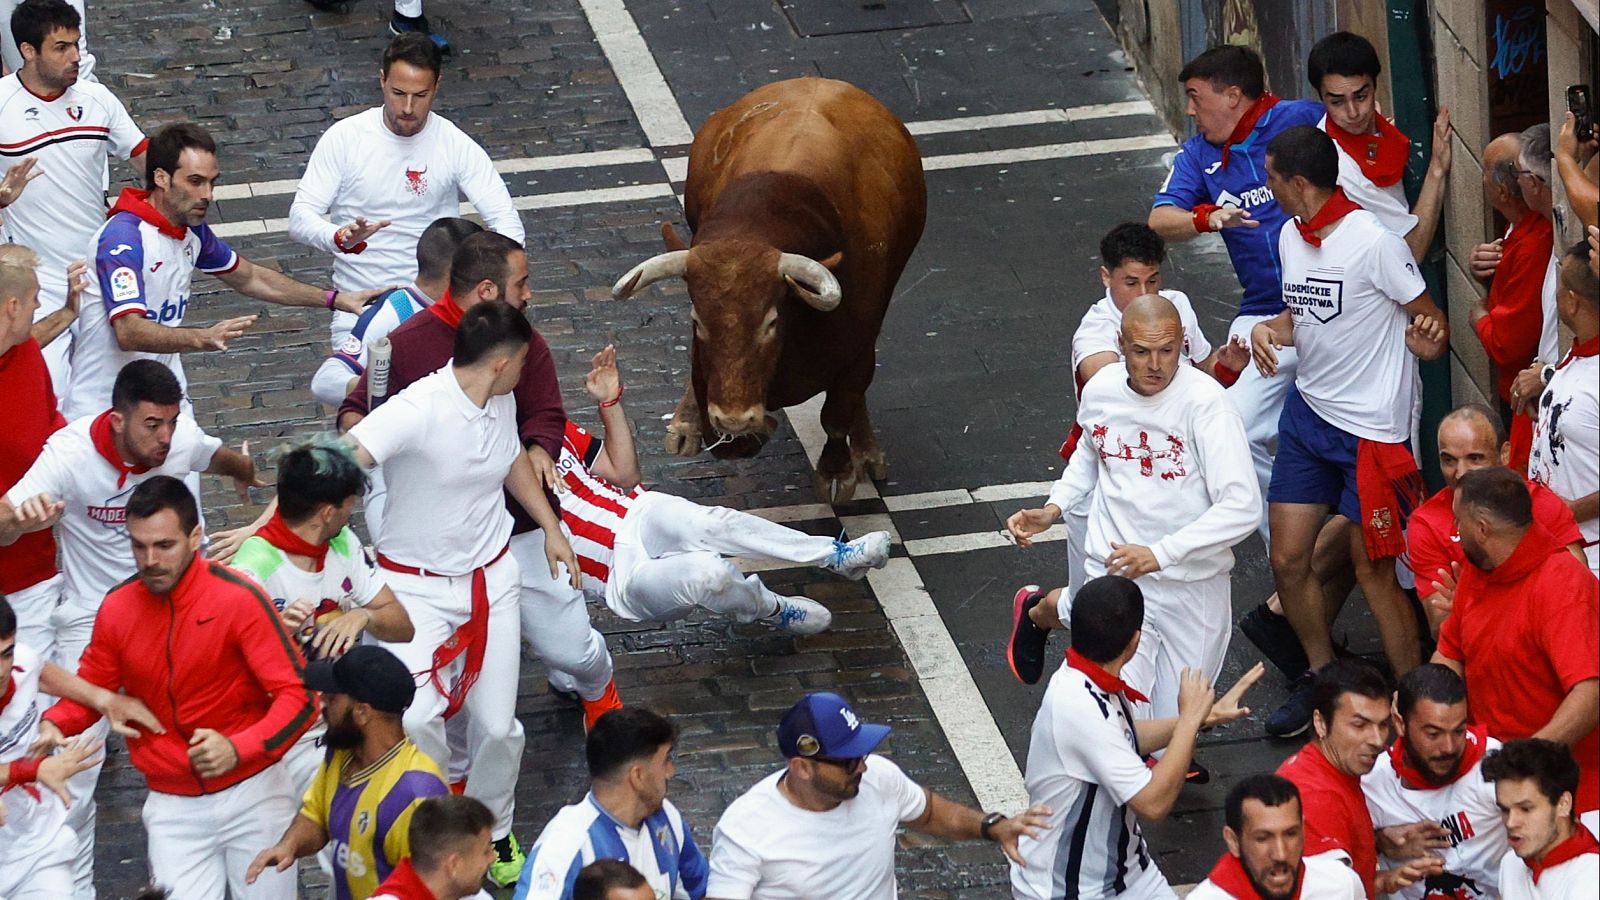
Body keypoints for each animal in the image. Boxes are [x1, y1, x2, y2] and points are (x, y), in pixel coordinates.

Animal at [611, 78, 928, 499]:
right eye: (697, 321)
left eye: (771, 322)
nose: (734, 419)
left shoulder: (859, 342)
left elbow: (838, 413)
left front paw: (838, 469)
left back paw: (866, 453)